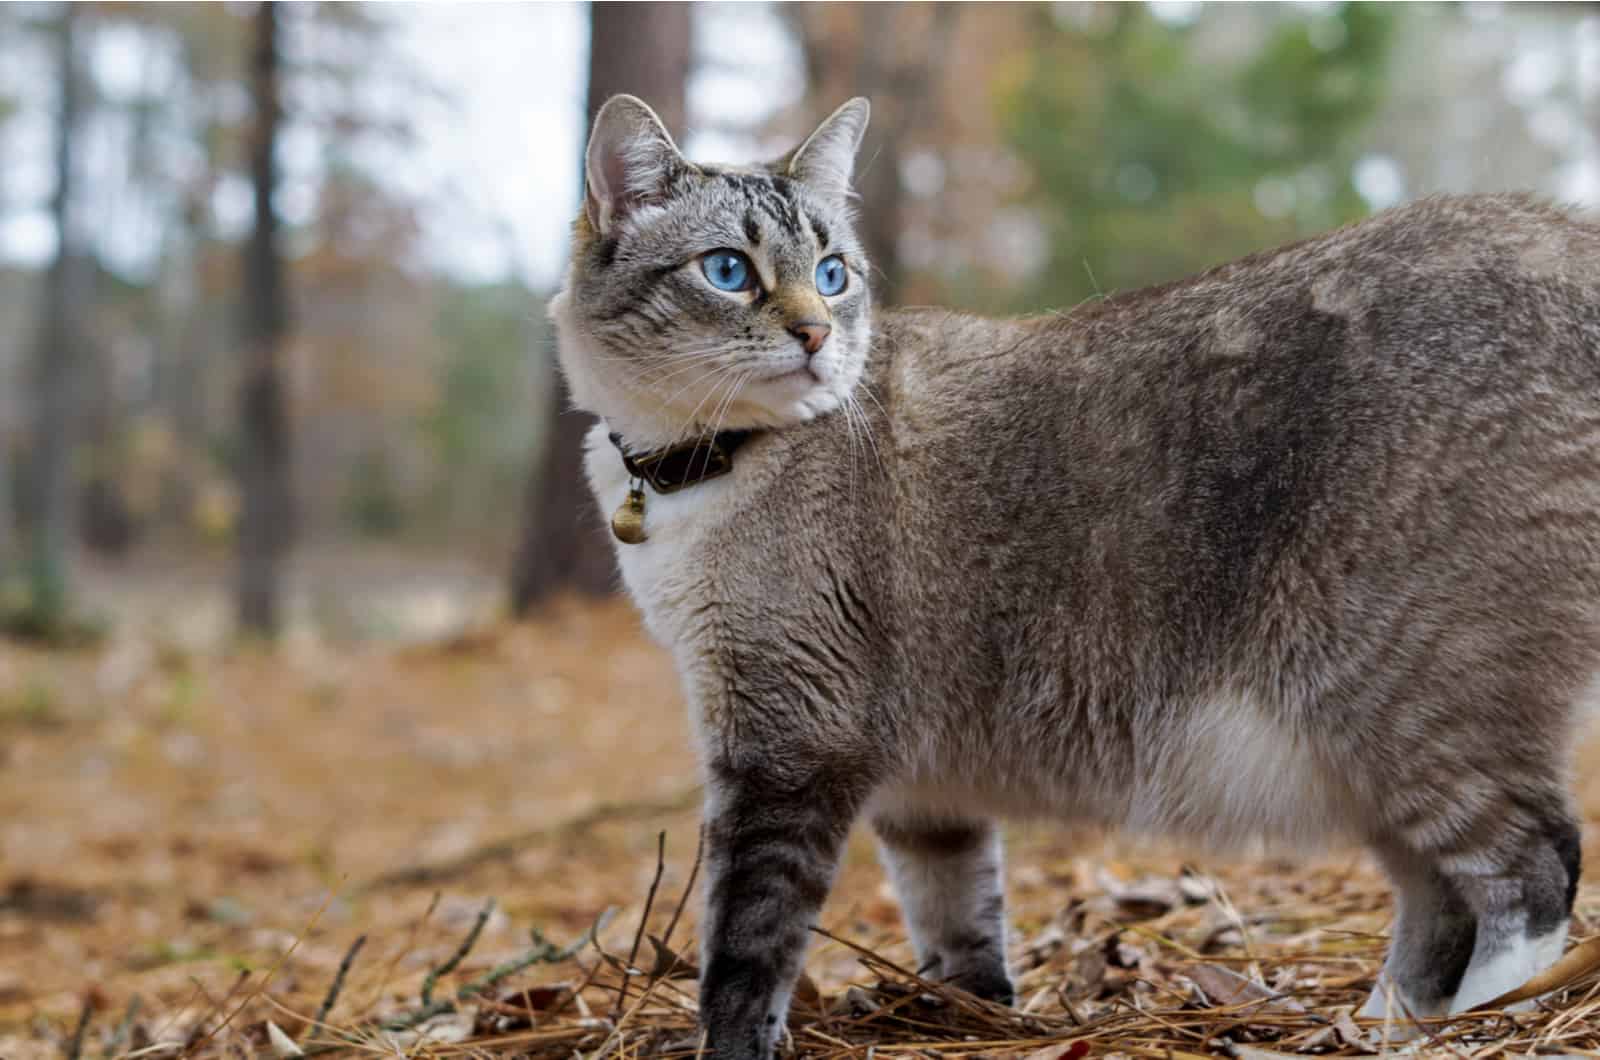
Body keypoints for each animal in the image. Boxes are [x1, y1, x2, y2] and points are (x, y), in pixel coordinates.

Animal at [547, 95, 1587, 1056]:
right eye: (729, 270)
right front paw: (969, 1018)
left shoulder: (787, 745)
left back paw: (1491, 1015)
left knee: (1536, 872)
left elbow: (744, 945)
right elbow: (958, 916)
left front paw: (732, 1039)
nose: (815, 336)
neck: (692, 468)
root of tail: (1564, 234)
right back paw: (1382, 1026)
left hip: (1399, 699)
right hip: (1360, 752)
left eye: (832, 276)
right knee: (1438, 899)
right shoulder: (920, 788)